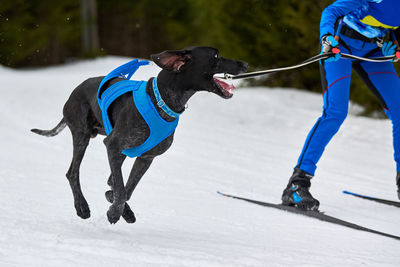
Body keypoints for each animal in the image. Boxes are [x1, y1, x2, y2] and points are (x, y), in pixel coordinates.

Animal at [32, 47, 247, 225]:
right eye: (216, 56)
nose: (245, 64)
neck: (162, 101)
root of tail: (74, 91)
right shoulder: (113, 144)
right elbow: (120, 190)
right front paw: (114, 212)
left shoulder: (145, 158)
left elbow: (125, 189)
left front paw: (119, 207)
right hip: (82, 136)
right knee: (73, 173)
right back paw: (82, 207)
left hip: (119, 151)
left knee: (110, 180)